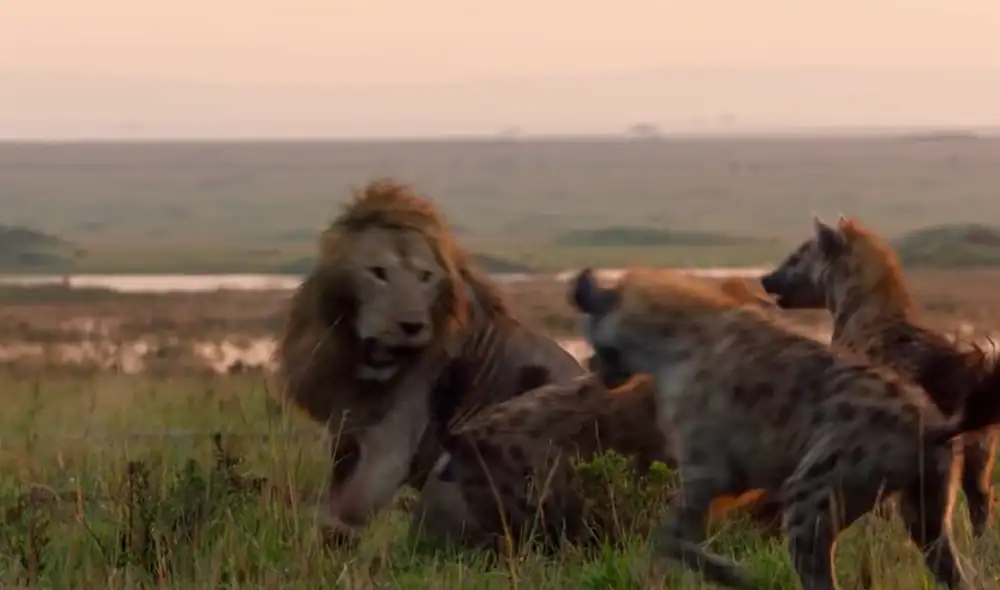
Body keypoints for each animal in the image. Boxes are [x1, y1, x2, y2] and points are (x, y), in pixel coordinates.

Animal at [275, 179, 587, 540]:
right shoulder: (345, 436)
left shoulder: (389, 446)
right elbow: (335, 497)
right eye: (378, 273)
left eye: (425, 277)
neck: (360, 359)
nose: (412, 326)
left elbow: (349, 510)